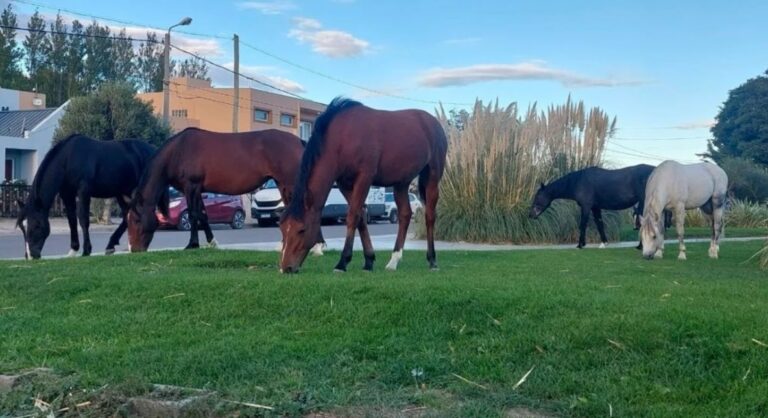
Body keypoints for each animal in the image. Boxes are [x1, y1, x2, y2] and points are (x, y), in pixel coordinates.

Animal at [16, 134, 156, 259]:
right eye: (22, 228)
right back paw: (112, 246)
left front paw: (86, 250)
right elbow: (72, 220)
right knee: (128, 215)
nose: (30, 255)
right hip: (122, 193)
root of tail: (152, 149)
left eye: (36, 225)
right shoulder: (67, 194)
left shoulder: (84, 192)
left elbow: (83, 219)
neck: (68, 159)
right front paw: (73, 250)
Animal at [127, 127, 324, 252]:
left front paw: (192, 244)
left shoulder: (190, 186)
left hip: (290, 183)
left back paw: (317, 246)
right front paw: (211, 242)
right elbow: (203, 215)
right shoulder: (197, 190)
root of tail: (298, 141)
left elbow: (193, 215)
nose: (134, 249)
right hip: (283, 184)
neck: (179, 150)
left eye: (136, 220)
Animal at [279, 97, 448, 274]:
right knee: (405, 215)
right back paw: (394, 260)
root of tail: (433, 122)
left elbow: (352, 215)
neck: (343, 137)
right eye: (282, 228)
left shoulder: (364, 178)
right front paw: (369, 260)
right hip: (401, 183)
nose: (285, 268)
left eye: (301, 229)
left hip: (432, 178)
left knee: (430, 216)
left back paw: (432, 260)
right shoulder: (344, 184)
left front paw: (342, 262)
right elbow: (360, 217)